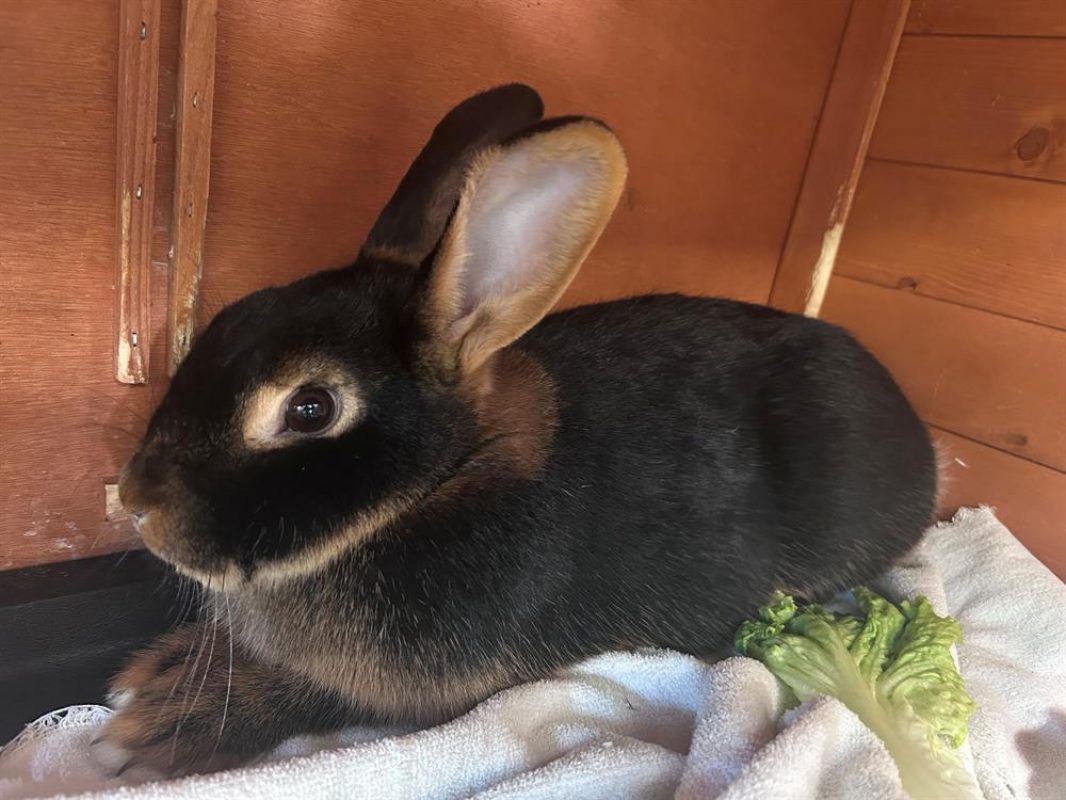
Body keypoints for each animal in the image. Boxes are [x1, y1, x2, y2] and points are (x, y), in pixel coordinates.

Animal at [92, 83, 937, 778]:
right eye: (226, 319)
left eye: (310, 409)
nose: (137, 503)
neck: (441, 478)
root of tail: (915, 430)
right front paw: (161, 674)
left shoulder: (427, 694)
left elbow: (325, 697)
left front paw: (160, 724)